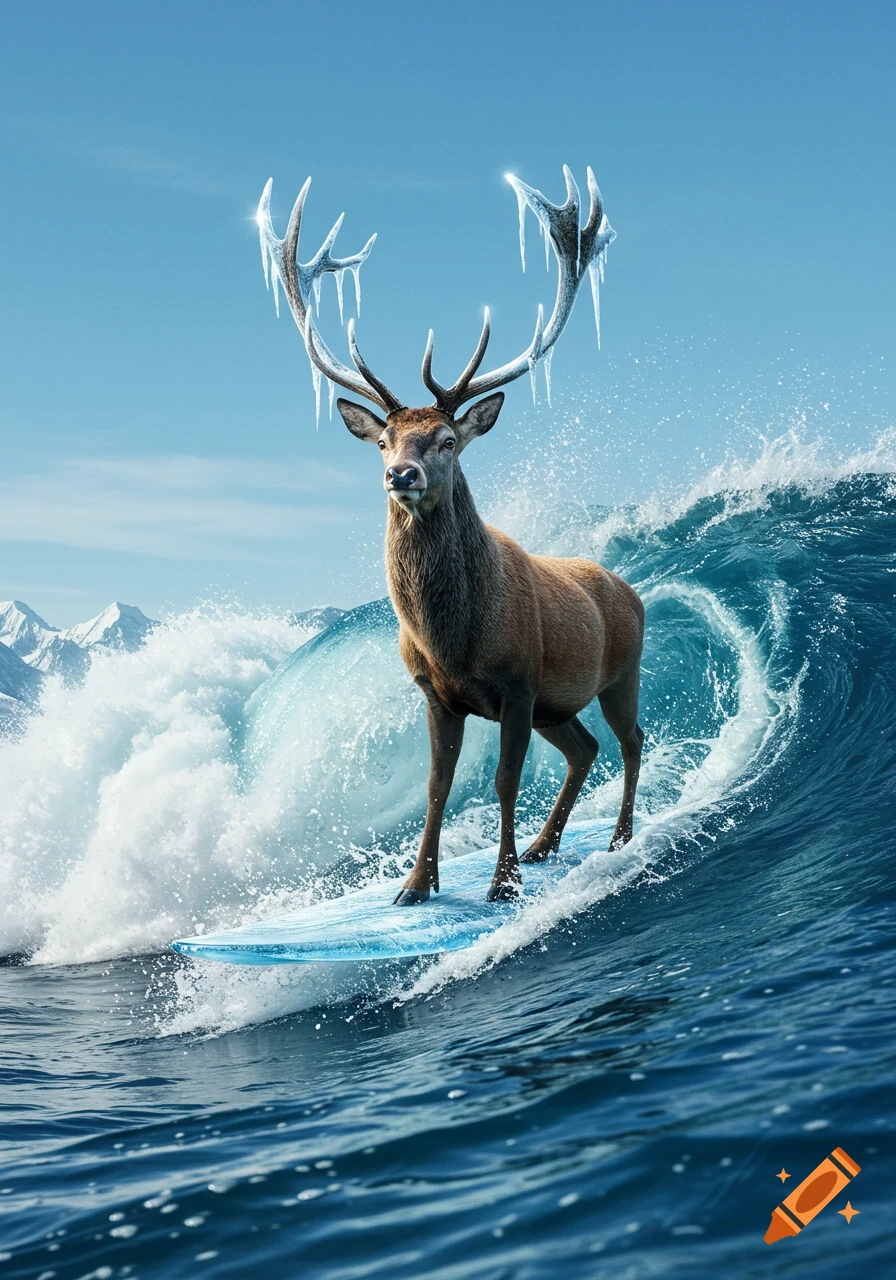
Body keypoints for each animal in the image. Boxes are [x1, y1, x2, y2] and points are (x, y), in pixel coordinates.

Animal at [257, 167, 644, 905]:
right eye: (384, 440)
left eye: (445, 440)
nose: (401, 475)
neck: (456, 642)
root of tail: (633, 591)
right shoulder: (438, 695)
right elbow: (438, 788)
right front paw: (415, 885)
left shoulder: (519, 682)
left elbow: (502, 780)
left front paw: (502, 883)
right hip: (559, 704)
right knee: (586, 748)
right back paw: (548, 845)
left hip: (621, 670)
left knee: (632, 738)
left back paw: (616, 838)